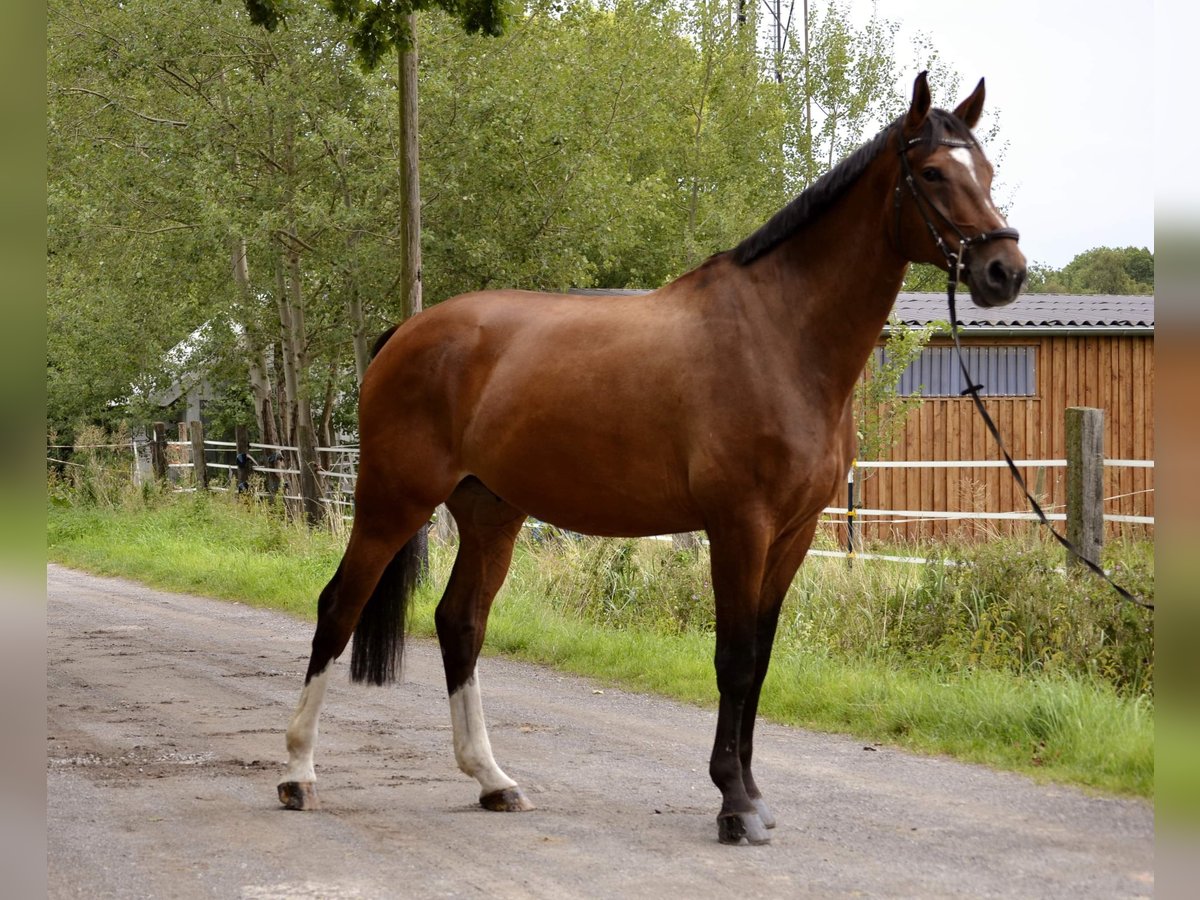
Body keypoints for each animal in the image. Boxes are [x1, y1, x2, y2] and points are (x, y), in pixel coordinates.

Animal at [278, 75, 1022, 844]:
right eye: (932, 173)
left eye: (987, 171)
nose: (1005, 271)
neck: (780, 339)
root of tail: (407, 332)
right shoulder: (740, 526)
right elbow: (735, 658)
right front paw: (735, 804)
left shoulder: (793, 533)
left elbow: (760, 660)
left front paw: (753, 795)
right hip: (393, 499)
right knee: (339, 607)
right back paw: (299, 773)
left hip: (490, 513)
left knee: (460, 624)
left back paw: (492, 780)